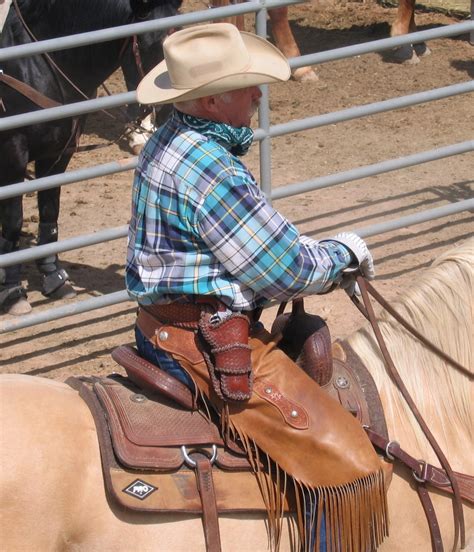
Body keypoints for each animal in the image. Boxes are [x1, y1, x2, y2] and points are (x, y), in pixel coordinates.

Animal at [0, 0, 181, 314]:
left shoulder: (58, 152)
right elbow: (13, 221)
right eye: (152, 44)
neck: (36, 62)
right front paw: (13, 292)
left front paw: (53, 276)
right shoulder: (13, 154)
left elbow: (50, 210)